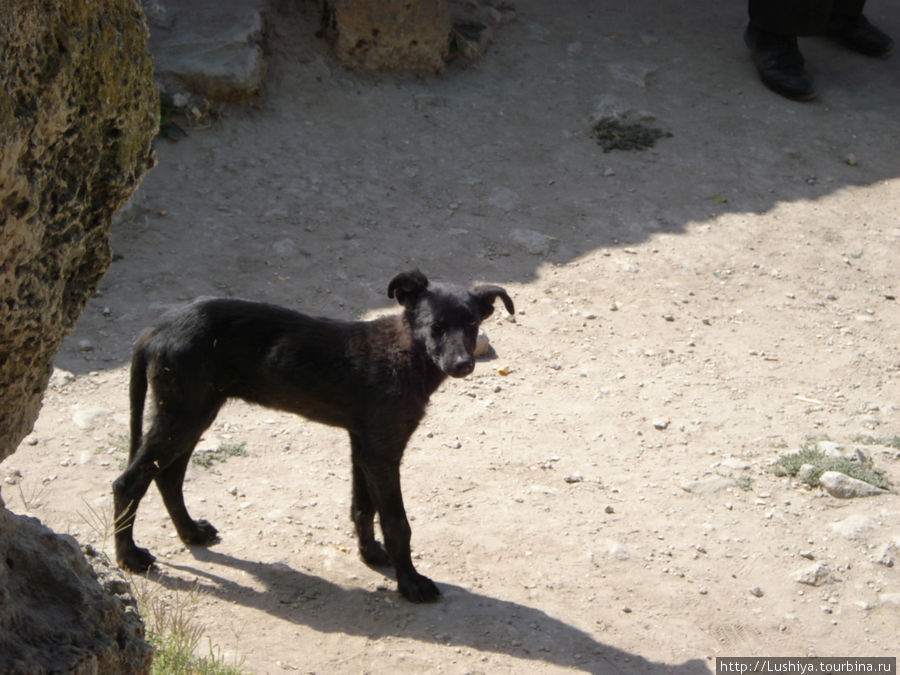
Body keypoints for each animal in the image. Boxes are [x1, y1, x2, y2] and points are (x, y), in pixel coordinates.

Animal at [114, 270, 512, 604]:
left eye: (472, 323)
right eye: (436, 326)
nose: (463, 364)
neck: (407, 354)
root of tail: (155, 329)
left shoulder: (364, 443)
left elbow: (363, 505)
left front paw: (370, 554)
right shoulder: (383, 449)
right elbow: (397, 521)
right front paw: (411, 583)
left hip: (194, 412)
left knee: (167, 476)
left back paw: (191, 533)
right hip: (183, 412)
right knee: (129, 481)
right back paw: (129, 556)